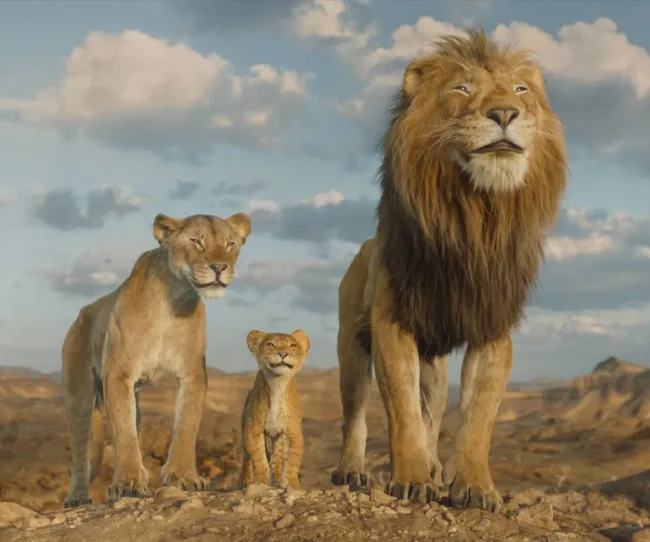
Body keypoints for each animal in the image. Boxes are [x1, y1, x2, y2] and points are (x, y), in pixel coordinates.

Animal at [62, 211, 251, 507]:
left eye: (230, 244)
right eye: (197, 241)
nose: (219, 267)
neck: (173, 299)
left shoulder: (192, 374)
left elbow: (186, 425)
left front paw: (184, 477)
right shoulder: (119, 374)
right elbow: (125, 434)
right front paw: (128, 483)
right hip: (80, 395)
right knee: (82, 449)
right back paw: (79, 497)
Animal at [238, 330, 309, 489]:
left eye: (293, 345)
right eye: (270, 344)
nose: (283, 353)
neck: (278, 384)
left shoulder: (293, 432)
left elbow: (292, 461)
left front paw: (291, 484)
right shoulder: (253, 430)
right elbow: (259, 459)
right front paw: (262, 483)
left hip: (279, 436)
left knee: (277, 457)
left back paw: (277, 479)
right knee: (246, 458)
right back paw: (245, 481)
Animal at [331, 29, 568, 511]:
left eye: (521, 90)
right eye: (461, 89)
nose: (505, 113)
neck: (476, 216)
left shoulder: (492, 326)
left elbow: (477, 417)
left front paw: (474, 487)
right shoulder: (392, 322)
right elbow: (401, 412)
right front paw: (411, 479)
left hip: (434, 367)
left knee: (433, 412)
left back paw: (437, 468)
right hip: (351, 346)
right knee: (355, 413)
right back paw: (352, 471)